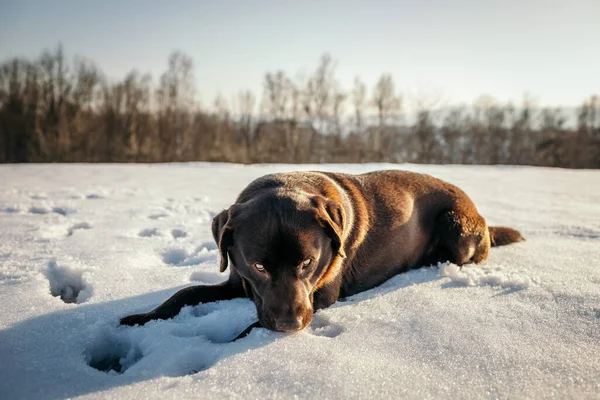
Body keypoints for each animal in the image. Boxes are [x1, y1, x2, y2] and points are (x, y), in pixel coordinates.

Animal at [119, 170, 524, 332]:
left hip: (457, 226)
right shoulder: (238, 280)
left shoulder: (319, 296)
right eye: (259, 266)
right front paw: (139, 318)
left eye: (308, 263)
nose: (290, 325)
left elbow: (250, 327)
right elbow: (184, 293)